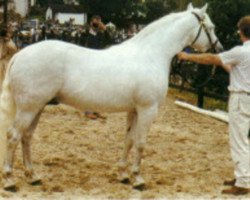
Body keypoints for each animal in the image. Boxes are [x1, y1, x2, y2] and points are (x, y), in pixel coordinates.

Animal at [0, 3, 223, 191]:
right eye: (211, 27)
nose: (219, 49)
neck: (150, 55)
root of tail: (20, 55)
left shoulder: (134, 110)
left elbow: (129, 140)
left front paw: (123, 175)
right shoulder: (148, 109)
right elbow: (141, 143)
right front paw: (138, 179)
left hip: (37, 107)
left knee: (26, 137)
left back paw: (33, 176)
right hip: (28, 109)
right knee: (13, 136)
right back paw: (10, 180)